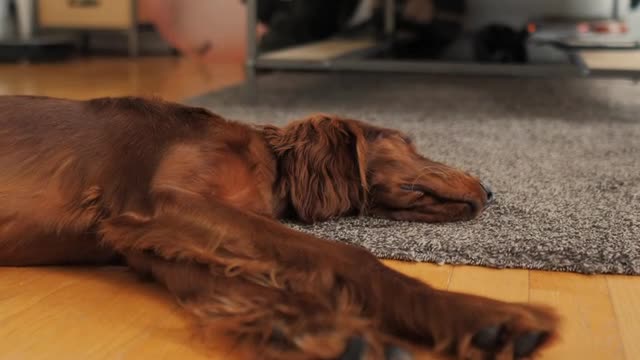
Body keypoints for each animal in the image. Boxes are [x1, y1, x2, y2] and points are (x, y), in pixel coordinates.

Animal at [0, 95, 556, 360]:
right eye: (406, 141)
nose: (491, 189)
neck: (268, 161)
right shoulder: (159, 204)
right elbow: (350, 256)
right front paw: (483, 316)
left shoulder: (144, 240)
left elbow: (230, 284)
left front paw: (312, 330)